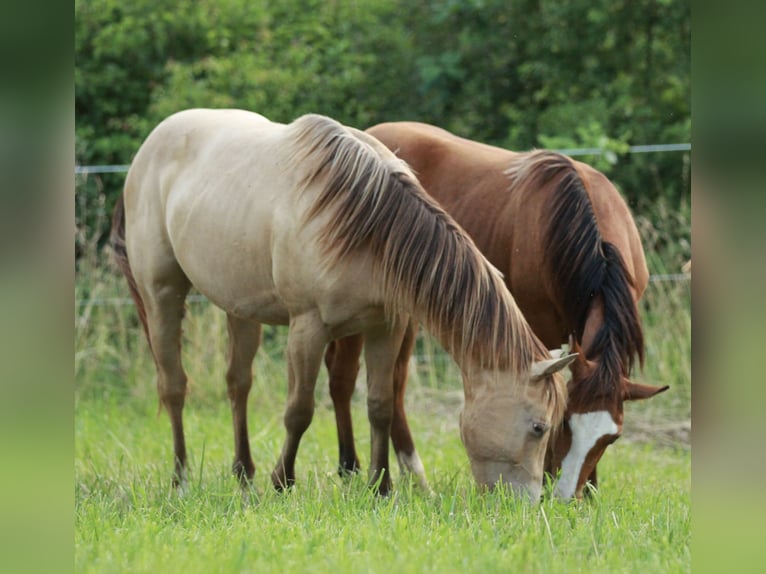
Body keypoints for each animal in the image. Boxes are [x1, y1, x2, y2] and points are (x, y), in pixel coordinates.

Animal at [109, 110, 576, 502]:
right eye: (540, 427)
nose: (530, 504)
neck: (369, 224)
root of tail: (148, 148)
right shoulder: (307, 328)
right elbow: (299, 410)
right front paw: (283, 482)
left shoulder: (385, 327)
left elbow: (380, 406)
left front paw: (380, 487)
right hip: (162, 294)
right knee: (173, 386)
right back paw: (181, 478)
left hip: (239, 307)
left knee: (238, 384)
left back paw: (243, 475)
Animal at [328, 120, 668, 500]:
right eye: (565, 423)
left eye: (612, 438)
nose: (566, 497)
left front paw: (590, 489)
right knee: (343, 377)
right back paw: (350, 467)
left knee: (395, 383)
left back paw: (414, 474)